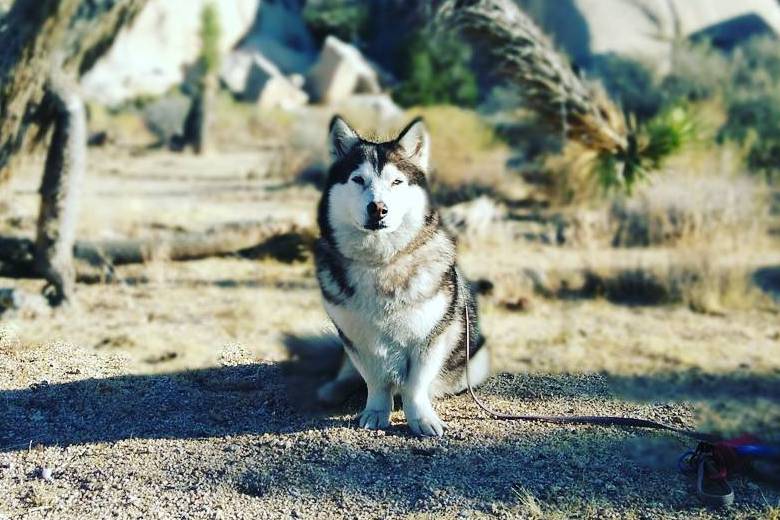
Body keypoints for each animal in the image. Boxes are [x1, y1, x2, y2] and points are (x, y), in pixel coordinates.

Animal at [312, 116, 488, 436]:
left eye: (396, 182)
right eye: (358, 179)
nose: (378, 208)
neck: (381, 263)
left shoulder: (430, 335)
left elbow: (415, 385)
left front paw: (421, 418)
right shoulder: (358, 339)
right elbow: (375, 380)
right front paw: (376, 411)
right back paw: (333, 389)